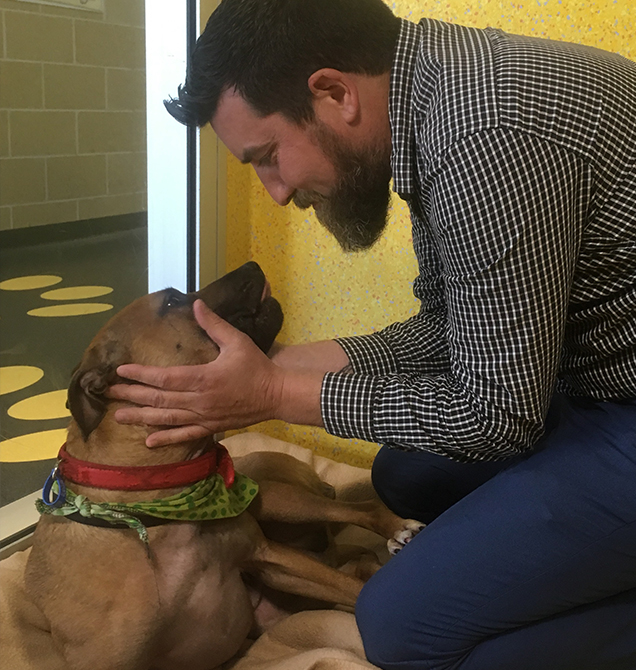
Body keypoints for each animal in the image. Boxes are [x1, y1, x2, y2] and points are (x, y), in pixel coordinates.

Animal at [23, 262, 422, 670]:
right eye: (172, 301)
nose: (253, 265)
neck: (159, 504)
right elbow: (356, 587)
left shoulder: (270, 557)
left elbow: (356, 590)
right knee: (359, 560)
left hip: (277, 500)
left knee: (358, 513)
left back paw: (396, 528)